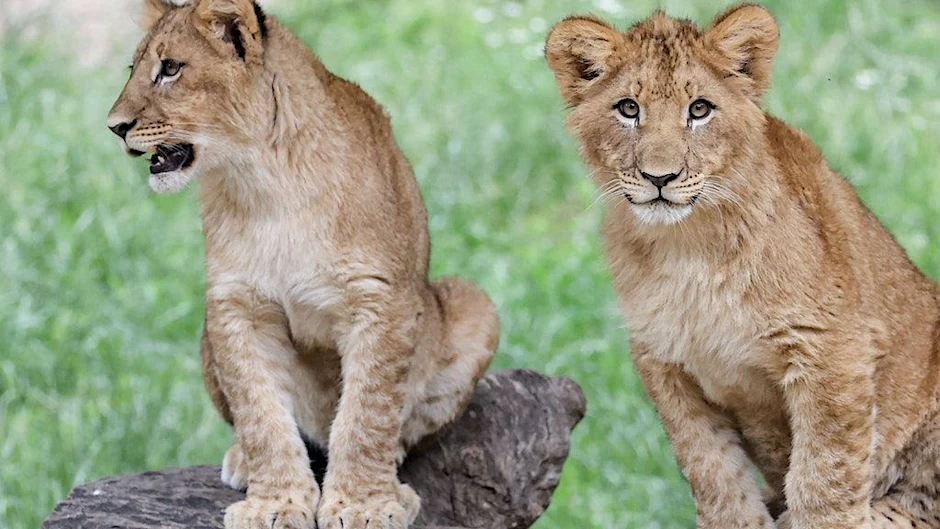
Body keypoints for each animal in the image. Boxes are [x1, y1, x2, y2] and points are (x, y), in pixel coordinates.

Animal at [106, 1, 500, 528]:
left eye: (170, 69)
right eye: (134, 69)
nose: (114, 126)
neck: (264, 180)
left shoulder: (380, 299)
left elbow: (367, 411)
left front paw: (363, 504)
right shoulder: (235, 304)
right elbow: (260, 412)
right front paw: (274, 503)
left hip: (473, 305)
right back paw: (242, 461)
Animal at [547, 4, 940, 529]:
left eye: (699, 110)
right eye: (628, 109)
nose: (659, 177)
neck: (688, 247)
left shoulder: (834, 353)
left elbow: (824, 484)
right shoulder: (666, 364)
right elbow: (714, 476)